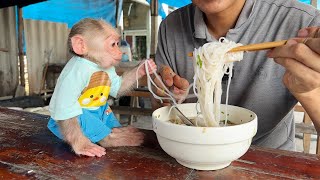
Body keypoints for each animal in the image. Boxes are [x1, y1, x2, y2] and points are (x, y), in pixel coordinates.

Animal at [47, 17, 156, 157]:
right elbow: (67, 108)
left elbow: (119, 87)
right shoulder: (73, 75)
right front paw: (82, 145)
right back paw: (111, 139)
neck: (92, 62)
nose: (120, 52)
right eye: (113, 45)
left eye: (117, 44)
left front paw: (144, 67)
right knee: (80, 115)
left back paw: (116, 130)